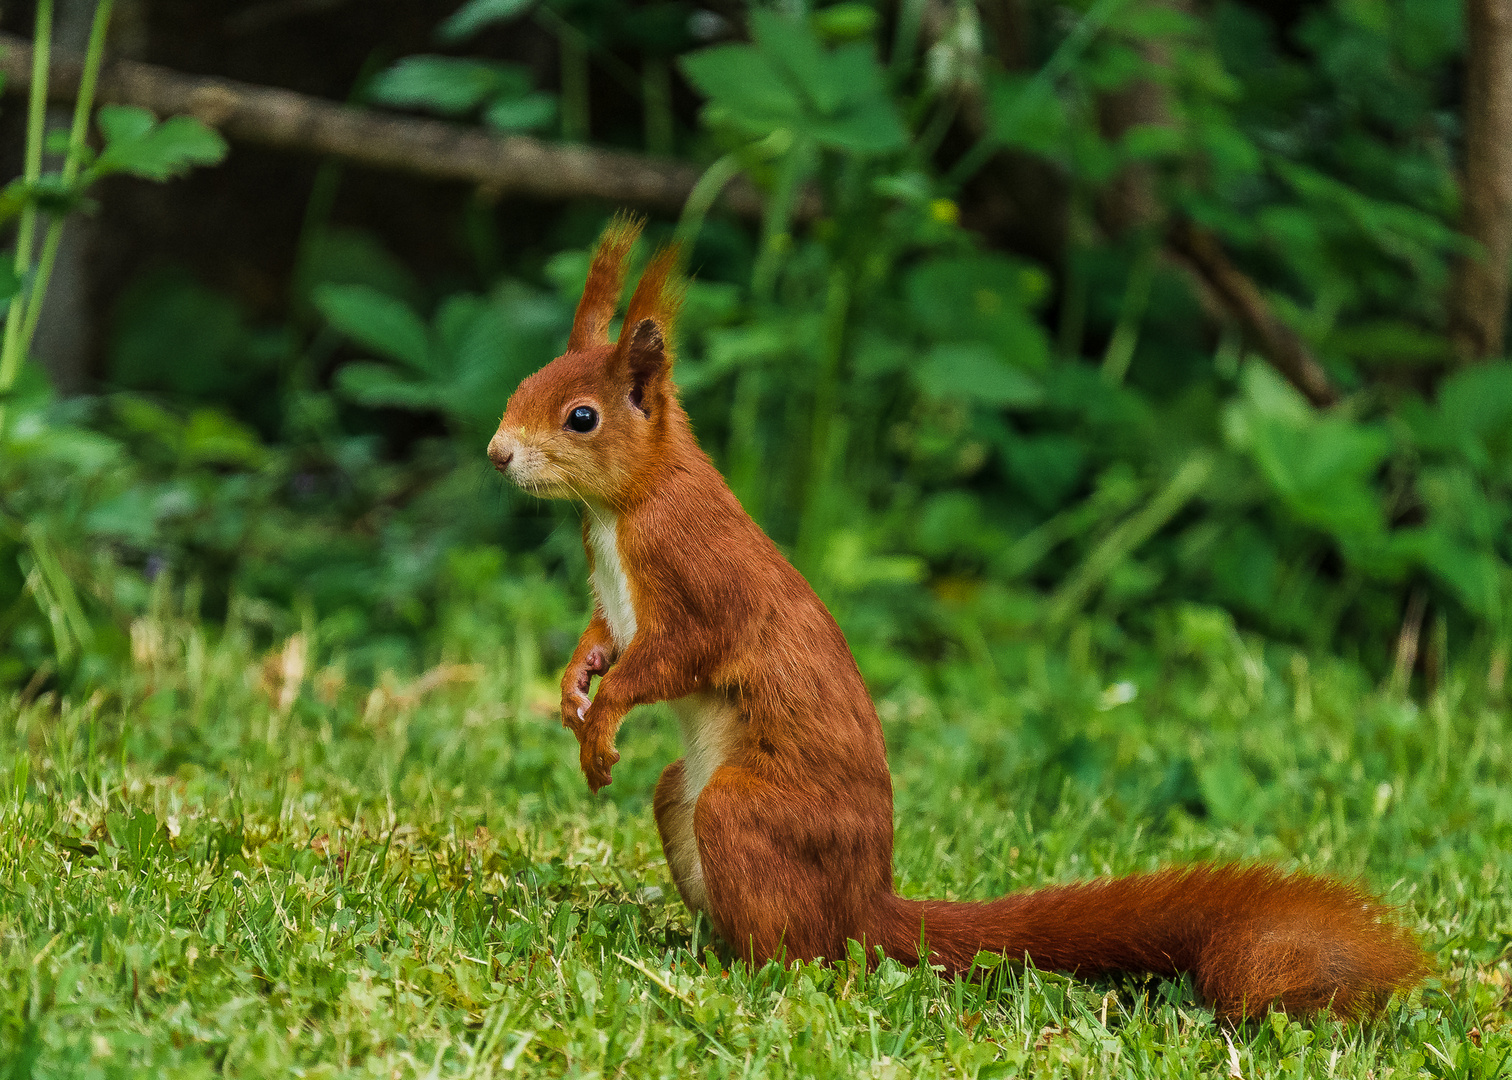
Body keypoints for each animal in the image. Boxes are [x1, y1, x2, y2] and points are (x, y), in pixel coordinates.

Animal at [486, 220, 1427, 1016]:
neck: (624, 507)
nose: (497, 453)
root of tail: (866, 908)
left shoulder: (698, 582)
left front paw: (602, 720)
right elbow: (604, 640)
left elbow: (671, 658)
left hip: (747, 817)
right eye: (521, 386)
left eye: (581, 417)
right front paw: (574, 688)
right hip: (683, 796)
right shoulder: (616, 600)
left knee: (802, 948)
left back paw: (734, 971)